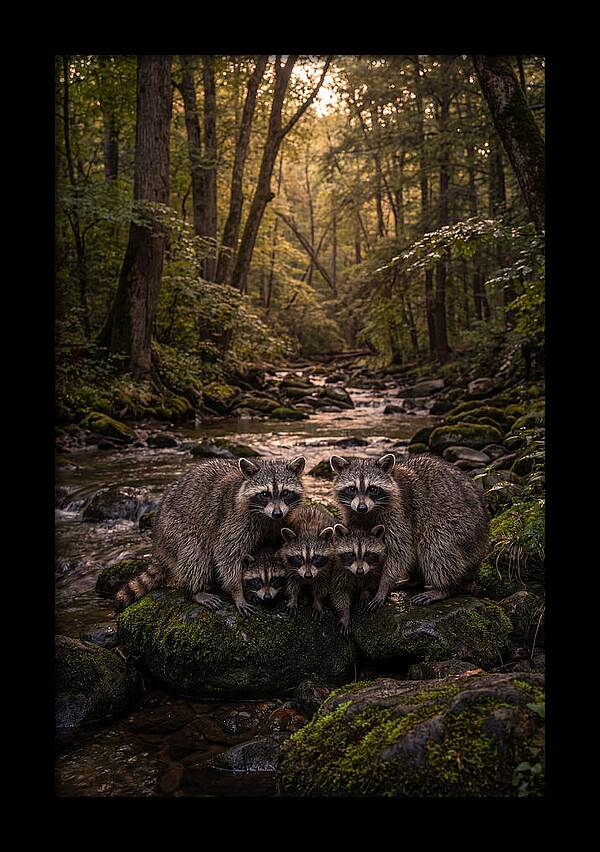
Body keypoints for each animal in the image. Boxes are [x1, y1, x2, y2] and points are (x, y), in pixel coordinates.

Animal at [115, 456, 305, 615]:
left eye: (285, 493)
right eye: (264, 494)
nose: (277, 513)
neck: (266, 517)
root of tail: (157, 540)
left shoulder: (281, 522)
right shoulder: (234, 521)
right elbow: (227, 556)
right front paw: (237, 592)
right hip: (175, 528)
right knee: (195, 553)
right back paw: (196, 590)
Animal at [329, 453, 489, 607]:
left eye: (373, 489)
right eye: (352, 489)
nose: (362, 507)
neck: (368, 512)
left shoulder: (399, 512)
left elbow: (399, 551)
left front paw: (384, 585)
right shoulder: (352, 514)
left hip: (461, 528)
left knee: (435, 545)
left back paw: (443, 588)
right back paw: (414, 580)